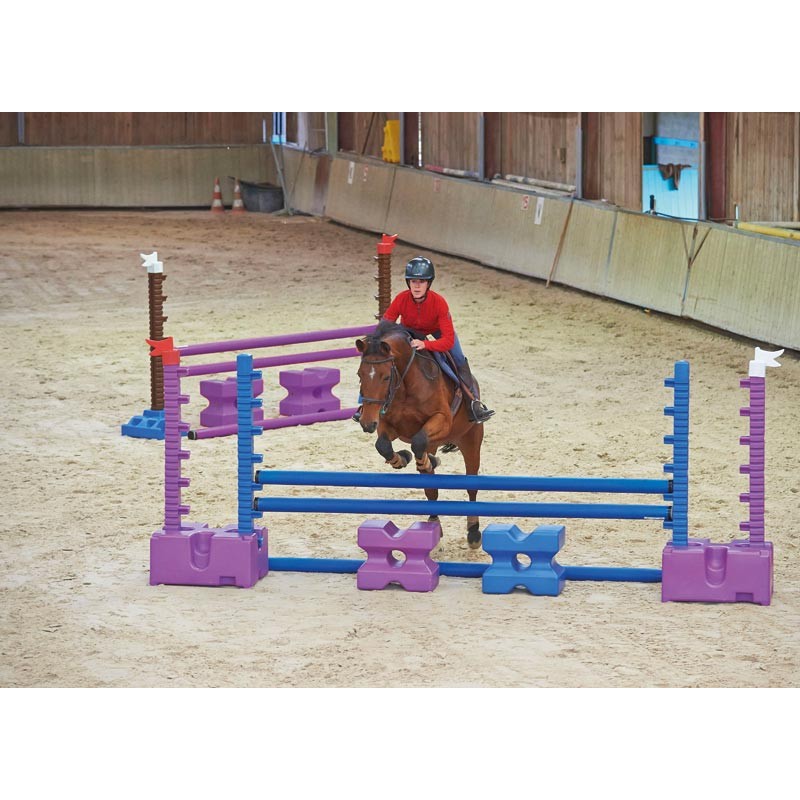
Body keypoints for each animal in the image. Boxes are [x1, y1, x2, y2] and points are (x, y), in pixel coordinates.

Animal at [355, 319, 485, 548]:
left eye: (386, 376)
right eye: (360, 375)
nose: (367, 423)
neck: (405, 383)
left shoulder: (442, 419)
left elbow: (417, 441)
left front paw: (423, 460)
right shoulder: (386, 423)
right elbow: (384, 445)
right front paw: (402, 459)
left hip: (471, 439)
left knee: (471, 485)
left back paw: (474, 531)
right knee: (430, 488)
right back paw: (433, 519)